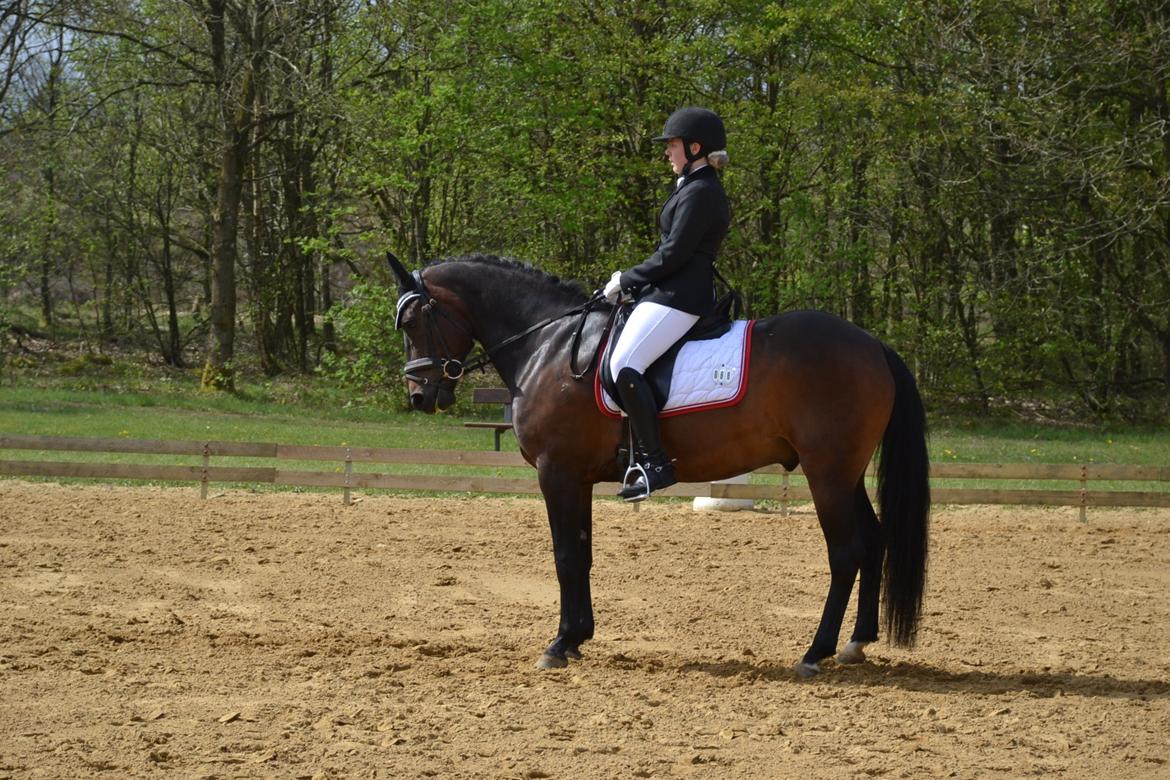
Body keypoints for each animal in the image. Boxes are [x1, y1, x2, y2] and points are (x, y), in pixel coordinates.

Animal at [387, 252, 930, 677]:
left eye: (412, 323)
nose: (419, 396)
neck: (549, 345)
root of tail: (873, 345)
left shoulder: (556, 472)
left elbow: (565, 557)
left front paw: (559, 645)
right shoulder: (577, 478)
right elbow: (581, 554)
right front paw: (578, 637)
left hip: (827, 474)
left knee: (845, 551)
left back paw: (815, 653)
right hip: (845, 473)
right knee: (874, 541)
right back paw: (856, 643)